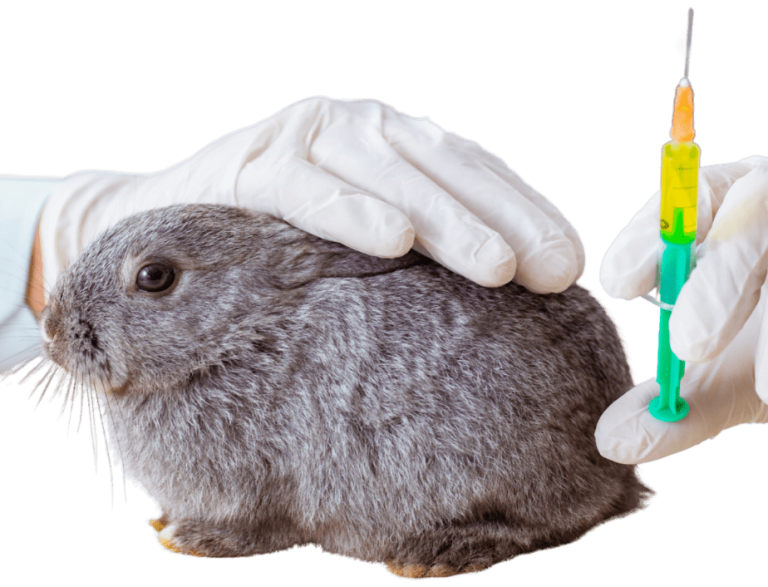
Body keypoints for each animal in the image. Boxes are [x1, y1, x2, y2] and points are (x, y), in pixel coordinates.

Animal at [38, 203, 654, 579]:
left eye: (154, 277)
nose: (50, 329)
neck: (235, 338)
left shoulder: (263, 486)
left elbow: (256, 528)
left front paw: (190, 539)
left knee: (559, 517)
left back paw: (444, 550)